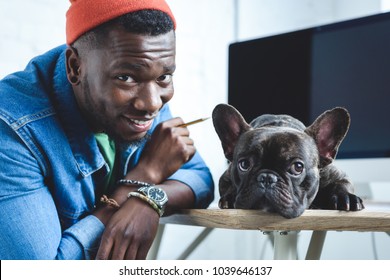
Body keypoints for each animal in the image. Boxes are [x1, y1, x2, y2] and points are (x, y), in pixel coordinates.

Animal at [212, 103, 364, 219]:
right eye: (244, 164)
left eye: (297, 167)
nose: (266, 177)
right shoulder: (225, 176)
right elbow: (228, 186)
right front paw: (229, 197)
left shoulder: (336, 174)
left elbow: (342, 184)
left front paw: (346, 197)